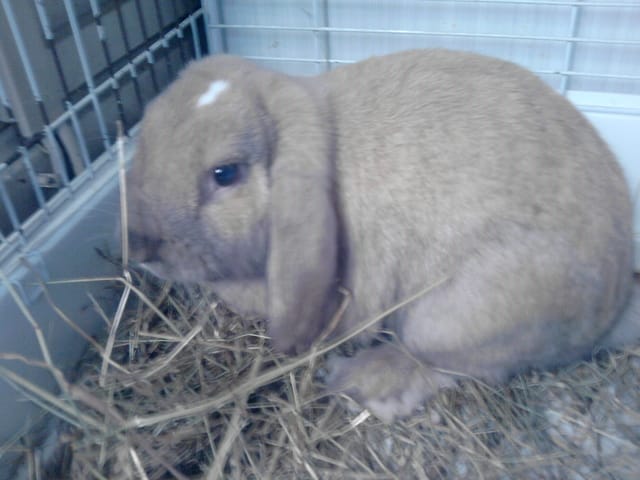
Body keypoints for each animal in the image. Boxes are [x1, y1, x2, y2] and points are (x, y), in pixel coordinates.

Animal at [126, 49, 638, 422]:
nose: (139, 243)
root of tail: (611, 311)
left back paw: (358, 379)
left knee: (453, 367)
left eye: (225, 173)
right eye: (145, 136)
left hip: (446, 320)